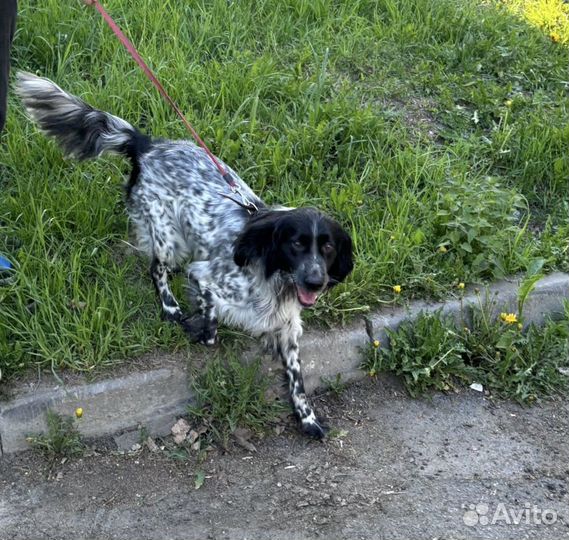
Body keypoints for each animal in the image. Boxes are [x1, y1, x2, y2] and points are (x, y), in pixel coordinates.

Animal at [15, 71, 352, 436]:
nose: (316, 281)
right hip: (168, 238)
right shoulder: (206, 276)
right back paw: (171, 307)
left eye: (328, 247)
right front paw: (198, 328)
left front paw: (307, 418)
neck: (274, 277)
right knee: (156, 269)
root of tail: (147, 145)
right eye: (296, 244)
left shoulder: (289, 325)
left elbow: (297, 377)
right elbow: (211, 322)